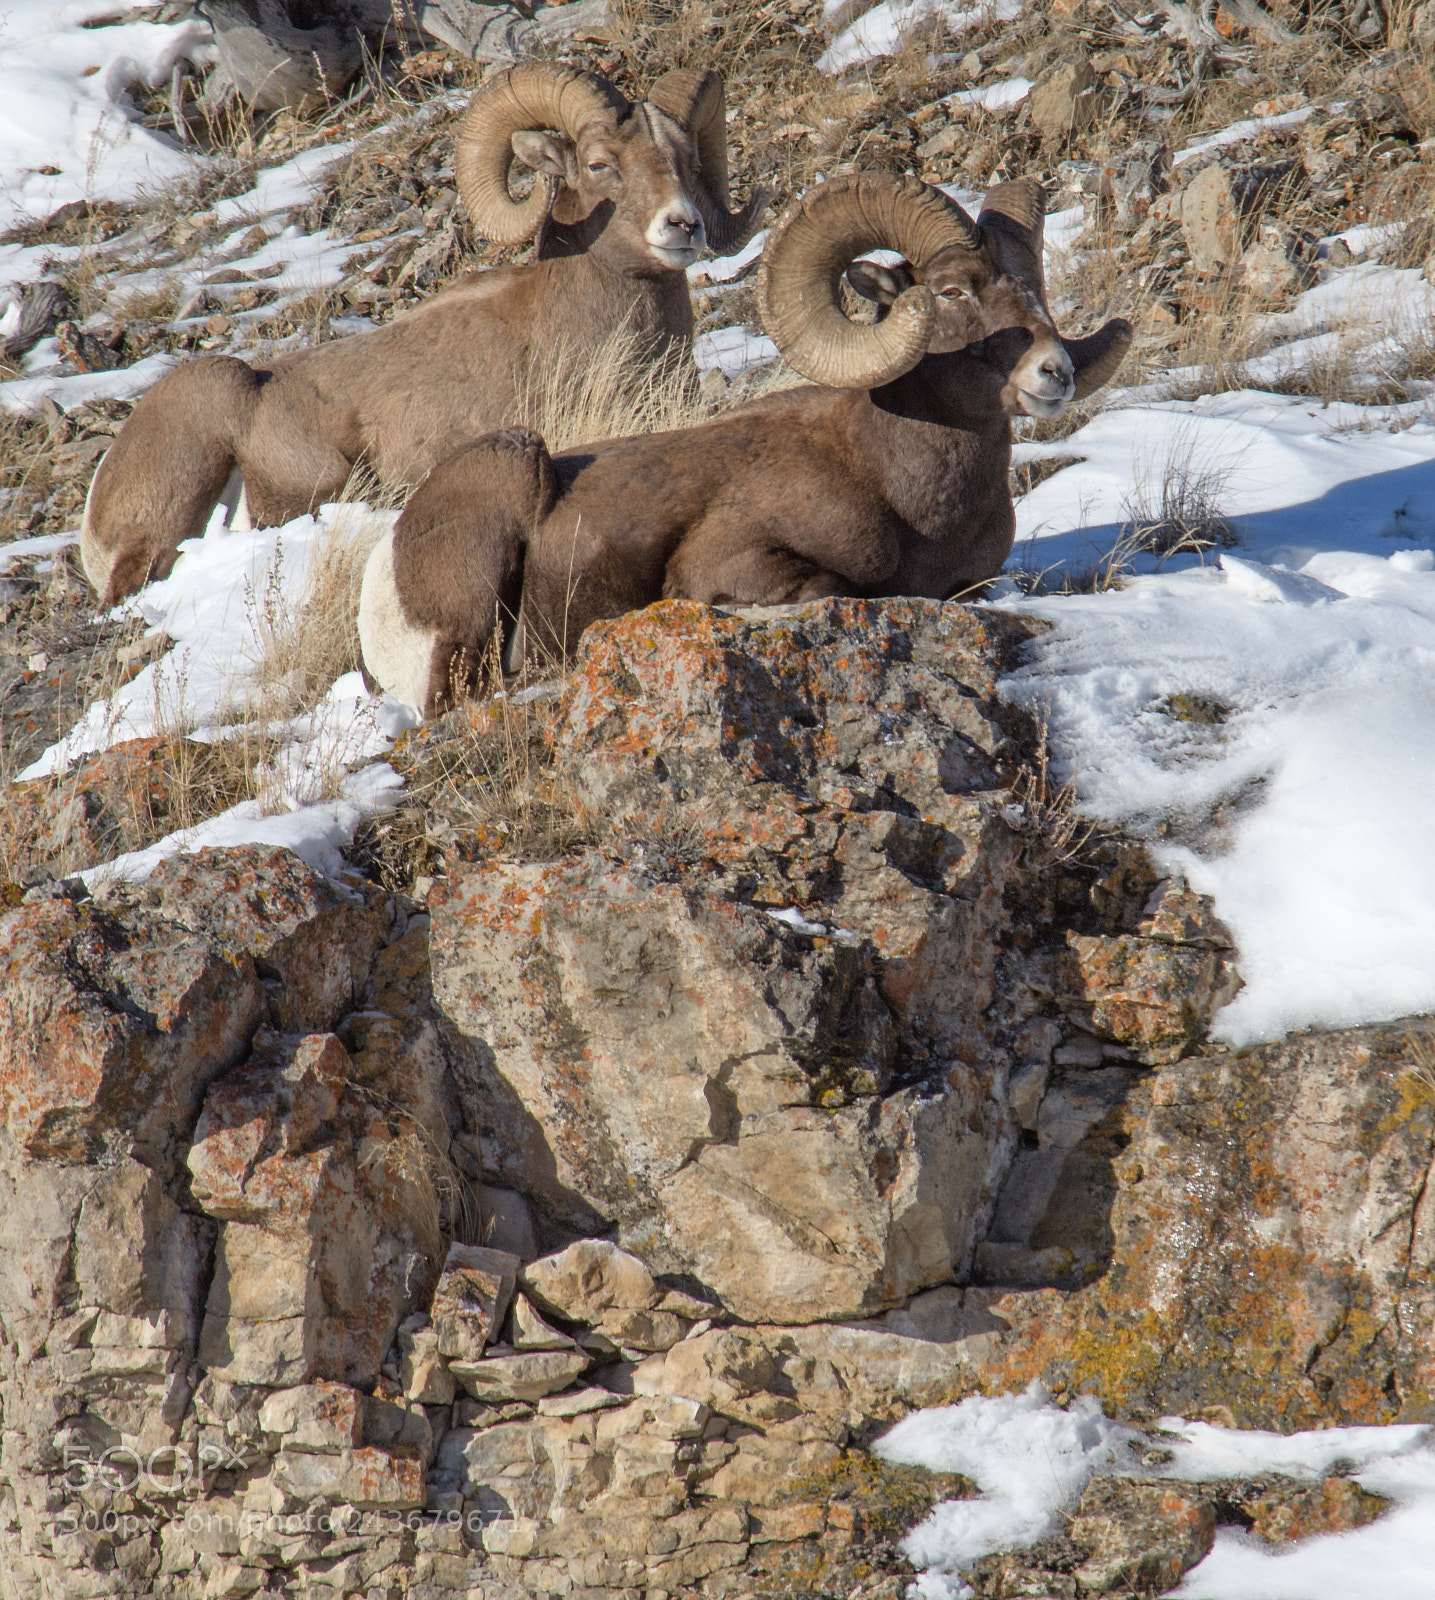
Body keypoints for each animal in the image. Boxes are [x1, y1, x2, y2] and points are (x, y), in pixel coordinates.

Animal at [358, 172, 1132, 716]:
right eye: (950, 292)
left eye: (1031, 290)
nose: (1054, 372)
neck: (907, 496)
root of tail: (382, 570)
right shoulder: (732, 560)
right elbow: (826, 587)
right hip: (506, 484)